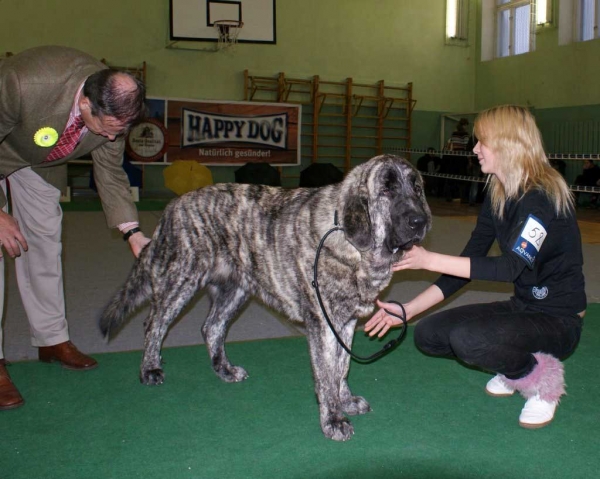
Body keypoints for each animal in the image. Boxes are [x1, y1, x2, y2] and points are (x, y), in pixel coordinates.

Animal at [102, 155, 432, 442]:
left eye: (416, 187)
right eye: (386, 189)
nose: (419, 221)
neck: (351, 243)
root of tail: (172, 206)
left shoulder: (346, 322)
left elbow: (342, 367)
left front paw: (345, 400)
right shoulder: (323, 325)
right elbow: (327, 374)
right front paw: (333, 419)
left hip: (235, 290)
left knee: (212, 327)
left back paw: (224, 369)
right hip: (180, 281)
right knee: (154, 324)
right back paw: (149, 369)